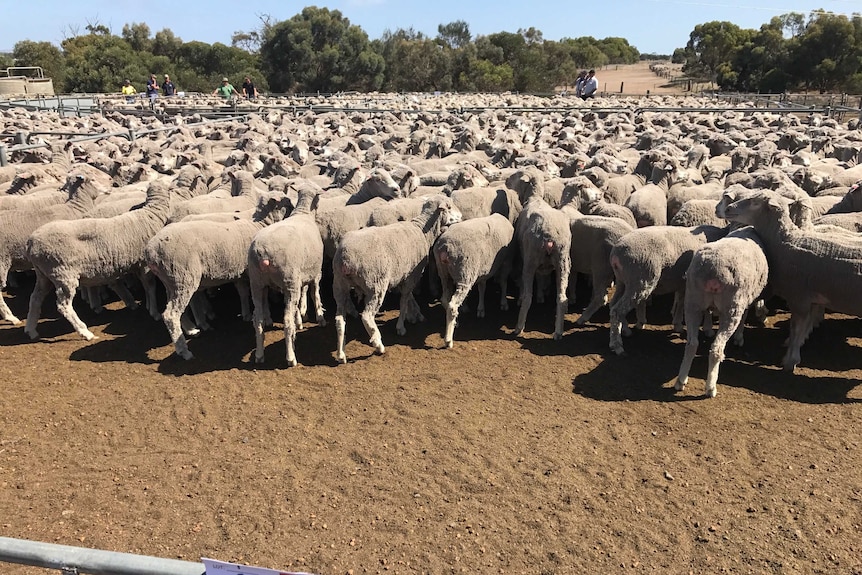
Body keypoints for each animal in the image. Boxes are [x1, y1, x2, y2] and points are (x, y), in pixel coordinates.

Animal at [24, 180, 173, 342]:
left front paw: (147, 307)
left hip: (43, 275)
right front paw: (154, 312)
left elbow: (146, 287)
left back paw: (31, 330)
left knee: (35, 298)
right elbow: (150, 287)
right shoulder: (144, 264)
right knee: (64, 306)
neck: (152, 214)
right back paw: (85, 332)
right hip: (62, 273)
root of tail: (32, 242)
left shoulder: (139, 265)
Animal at [147, 191, 296, 358]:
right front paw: (267, 317)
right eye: (287, 202)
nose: (294, 208)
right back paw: (184, 350)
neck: (260, 223)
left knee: (176, 309)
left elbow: (243, 293)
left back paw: (191, 329)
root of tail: (151, 250)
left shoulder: (241, 272)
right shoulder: (254, 275)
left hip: (172, 280)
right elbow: (262, 298)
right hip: (183, 276)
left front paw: (247, 313)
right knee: (171, 314)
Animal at [248, 184, 326, 366]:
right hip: (288, 279)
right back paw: (291, 357)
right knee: (286, 321)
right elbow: (315, 294)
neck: (304, 213)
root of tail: (263, 252)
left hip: (257, 282)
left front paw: (300, 320)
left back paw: (259, 355)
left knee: (258, 320)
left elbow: (300, 301)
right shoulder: (315, 273)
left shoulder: (298, 279)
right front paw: (320, 318)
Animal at [334, 196, 462, 362]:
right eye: (449, 207)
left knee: (339, 320)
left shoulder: (403, 275)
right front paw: (401, 326)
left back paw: (341, 354)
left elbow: (409, 298)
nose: (461, 216)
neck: (422, 230)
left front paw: (414, 314)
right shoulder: (412, 276)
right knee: (367, 316)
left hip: (339, 285)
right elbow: (404, 301)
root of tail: (345, 258)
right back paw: (378, 345)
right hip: (376, 284)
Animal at [724, 191, 862, 372]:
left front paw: (790, 360)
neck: (785, 240)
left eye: (755, 202)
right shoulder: (809, 298)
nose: (728, 208)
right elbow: (801, 328)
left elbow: (796, 329)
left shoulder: (799, 297)